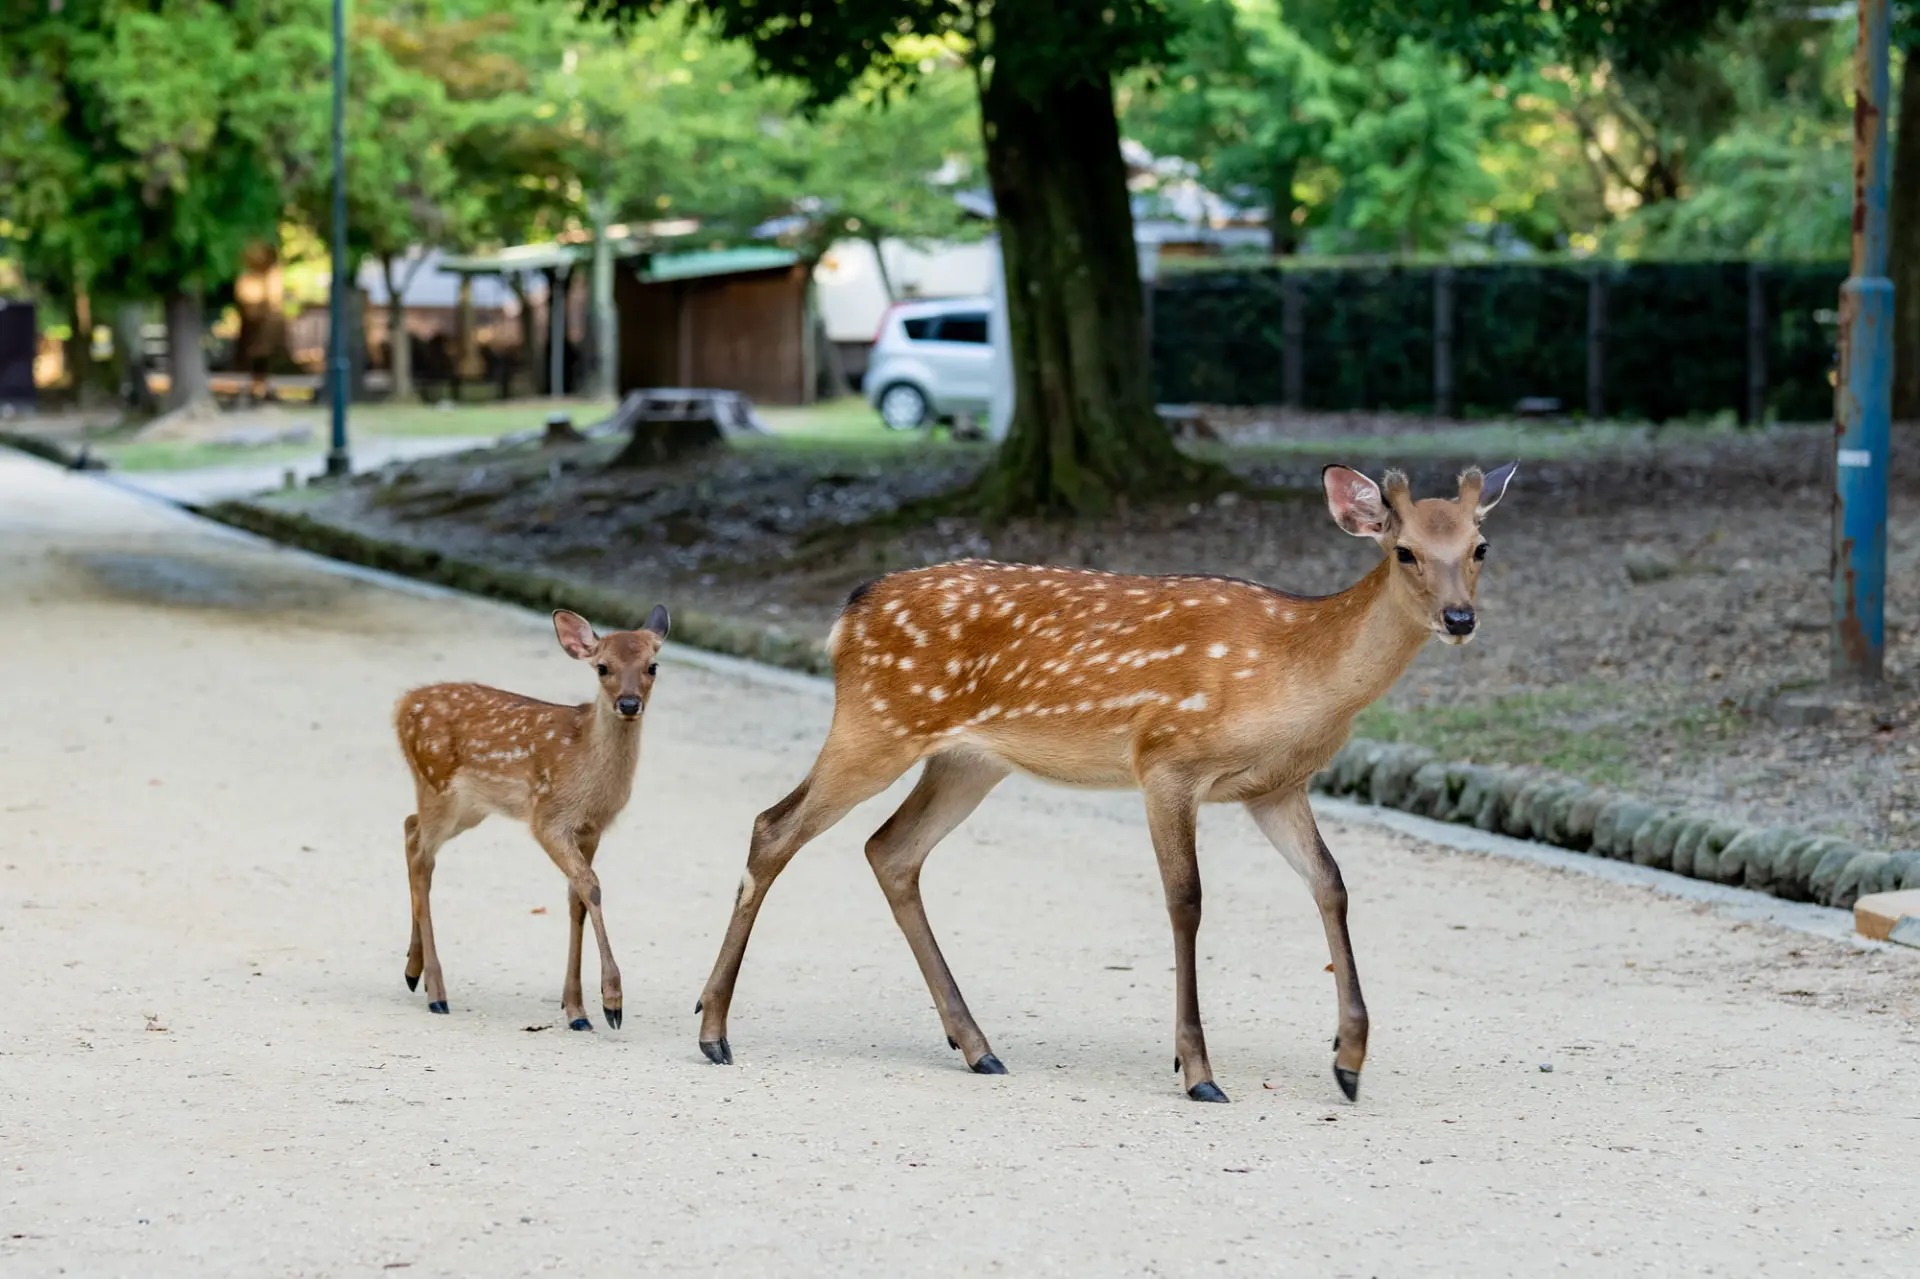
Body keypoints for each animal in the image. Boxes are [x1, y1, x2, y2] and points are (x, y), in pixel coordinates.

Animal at [393, 605, 670, 1030]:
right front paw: (612, 1003)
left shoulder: (591, 828)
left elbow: (577, 897)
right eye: (602, 667)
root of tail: (402, 705)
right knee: (422, 854)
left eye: (652, 666)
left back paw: (413, 970)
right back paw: (437, 992)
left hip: (467, 805)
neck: (587, 769)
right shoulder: (548, 818)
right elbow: (592, 886)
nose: (628, 704)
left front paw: (576, 1010)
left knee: (410, 829)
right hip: (439, 784)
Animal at [693, 462, 1515, 1103]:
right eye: (1405, 551)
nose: (1460, 617)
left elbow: (1331, 884)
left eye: (1480, 546)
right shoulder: (1166, 759)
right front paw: (1198, 1070)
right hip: (877, 722)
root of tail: (849, 613)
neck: (1296, 672)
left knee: (889, 849)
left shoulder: (1274, 788)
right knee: (775, 826)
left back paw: (977, 1045)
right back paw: (713, 1028)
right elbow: (1186, 900)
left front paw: (1348, 1062)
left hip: (966, 759)